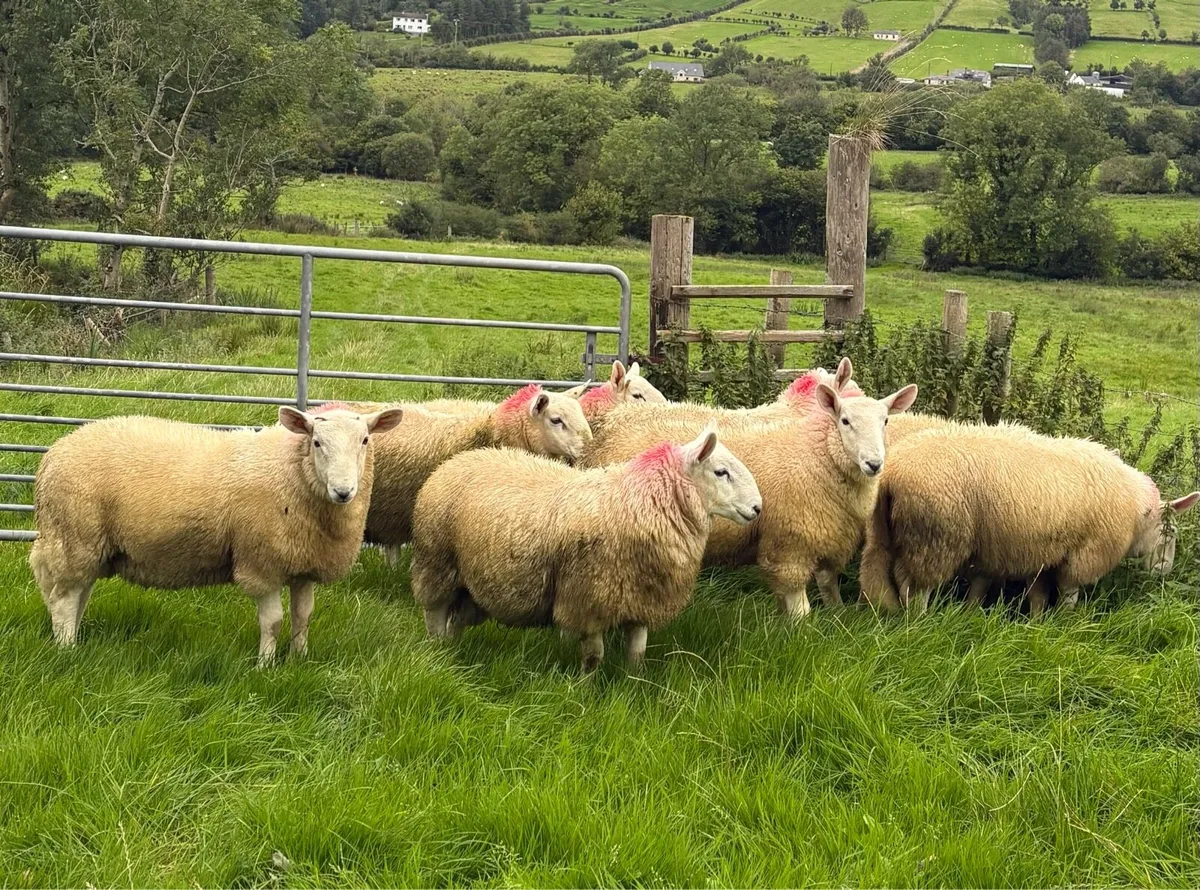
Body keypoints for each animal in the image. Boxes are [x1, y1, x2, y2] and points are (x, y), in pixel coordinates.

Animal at [28, 404, 404, 664]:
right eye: (316, 442)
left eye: (365, 440)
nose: (343, 491)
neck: (292, 473)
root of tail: (54, 454)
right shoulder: (260, 562)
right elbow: (273, 622)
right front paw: (265, 666)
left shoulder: (303, 563)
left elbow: (303, 618)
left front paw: (300, 660)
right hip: (74, 535)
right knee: (63, 598)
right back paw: (67, 648)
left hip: (91, 544)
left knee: (79, 593)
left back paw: (74, 636)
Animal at [409, 424, 762, 671]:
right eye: (721, 472)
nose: (758, 508)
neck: (642, 502)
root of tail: (455, 461)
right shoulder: (589, 599)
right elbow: (594, 656)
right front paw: (585, 692)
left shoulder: (642, 597)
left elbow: (637, 651)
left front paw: (632, 683)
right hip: (436, 561)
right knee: (434, 614)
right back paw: (439, 652)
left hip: (474, 584)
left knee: (457, 620)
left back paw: (454, 651)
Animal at [581, 379, 919, 617]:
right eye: (845, 421)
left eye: (886, 421)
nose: (874, 463)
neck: (817, 453)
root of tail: (612, 424)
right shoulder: (790, 544)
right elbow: (800, 608)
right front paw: (801, 636)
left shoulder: (827, 533)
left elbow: (828, 588)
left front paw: (835, 616)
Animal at [858, 421, 1200, 616]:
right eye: (1169, 533)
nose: (1164, 571)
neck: (1136, 513)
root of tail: (894, 472)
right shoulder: (1084, 555)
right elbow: (1069, 595)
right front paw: (1066, 624)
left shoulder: (1036, 553)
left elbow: (1027, 594)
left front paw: (1030, 624)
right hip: (936, 537)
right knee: (916, 589)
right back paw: (920, 621)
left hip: (892, 531)